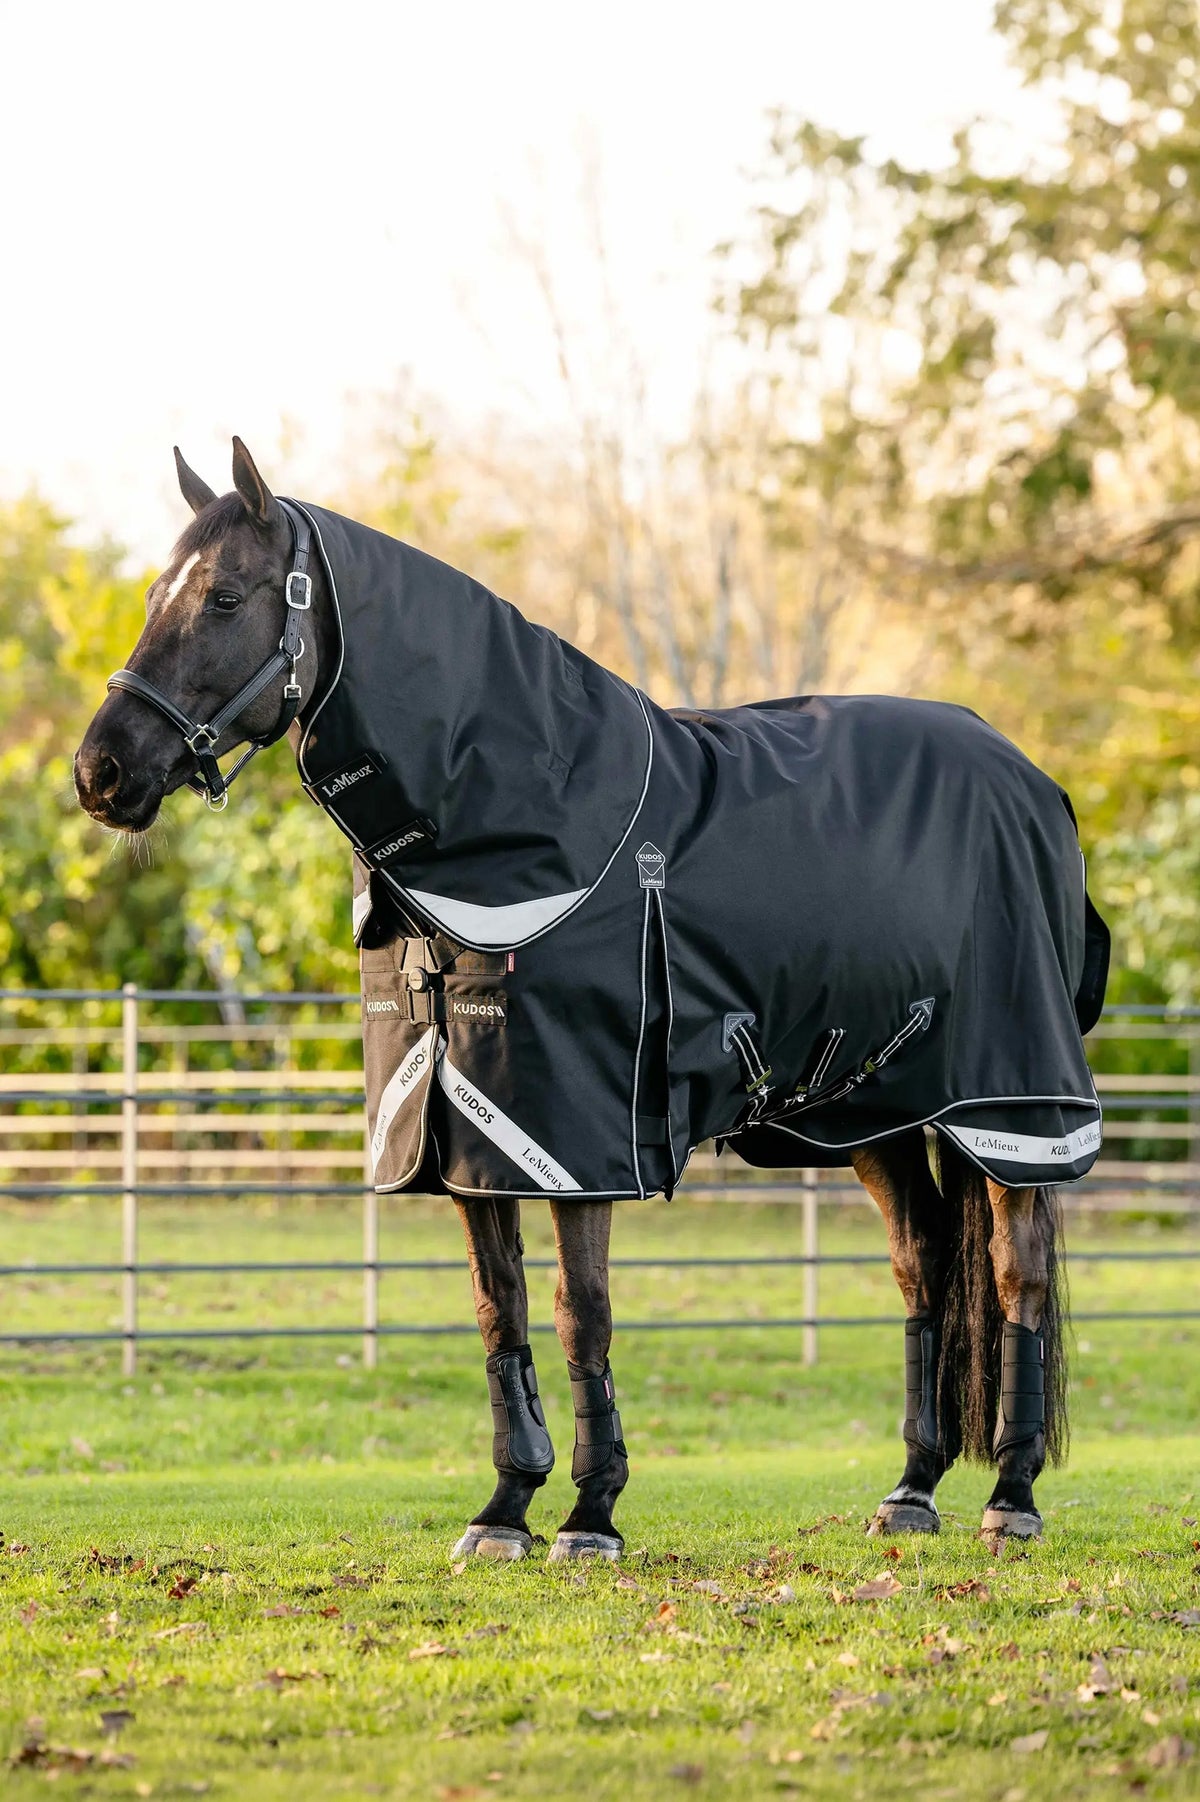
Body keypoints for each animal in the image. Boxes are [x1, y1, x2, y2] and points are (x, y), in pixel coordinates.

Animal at [75, 439, 1109, 1561]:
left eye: (224, 597)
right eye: (152, 595)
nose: (101, 771)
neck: (531, 820)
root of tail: (1033, 782)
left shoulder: (578, 1138)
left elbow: (584, 1311)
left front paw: (590, 1512)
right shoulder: (467, 1133)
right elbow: (501, 1310)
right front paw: (504, 1508)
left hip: (1012, 1105)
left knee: (1016, 1272)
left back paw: (1012, 1494)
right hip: (871, 1106)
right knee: (922, 1266)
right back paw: (913, 1487)